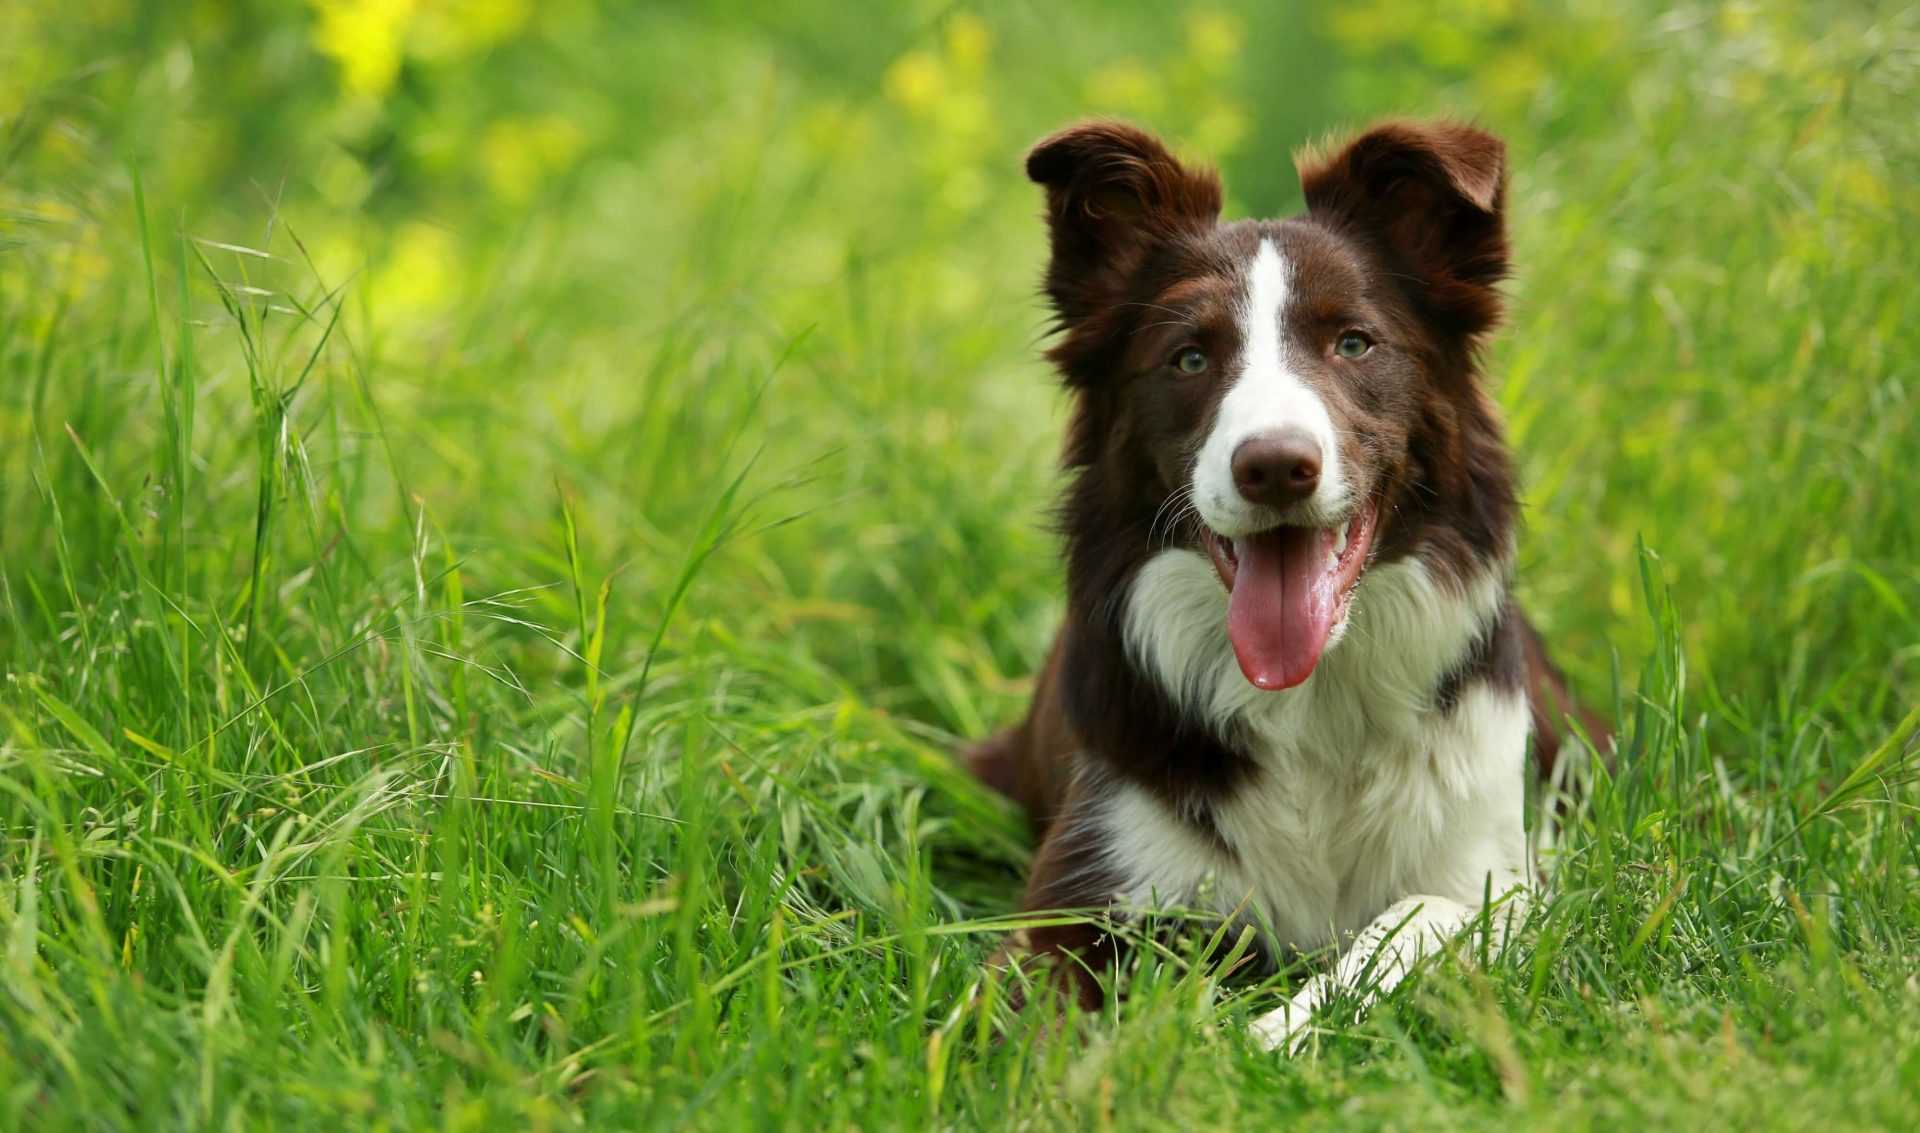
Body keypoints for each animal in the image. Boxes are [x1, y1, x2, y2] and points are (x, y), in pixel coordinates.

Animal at [967, 117, 1597, 1060]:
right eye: (1190, 357)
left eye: (1354, 343)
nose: (1273, 466)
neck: (1312, 700)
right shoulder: (1088, 884)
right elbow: (1026, 1003)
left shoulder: (1496, 876)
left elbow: (1411, 921)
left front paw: (1264, 1036)